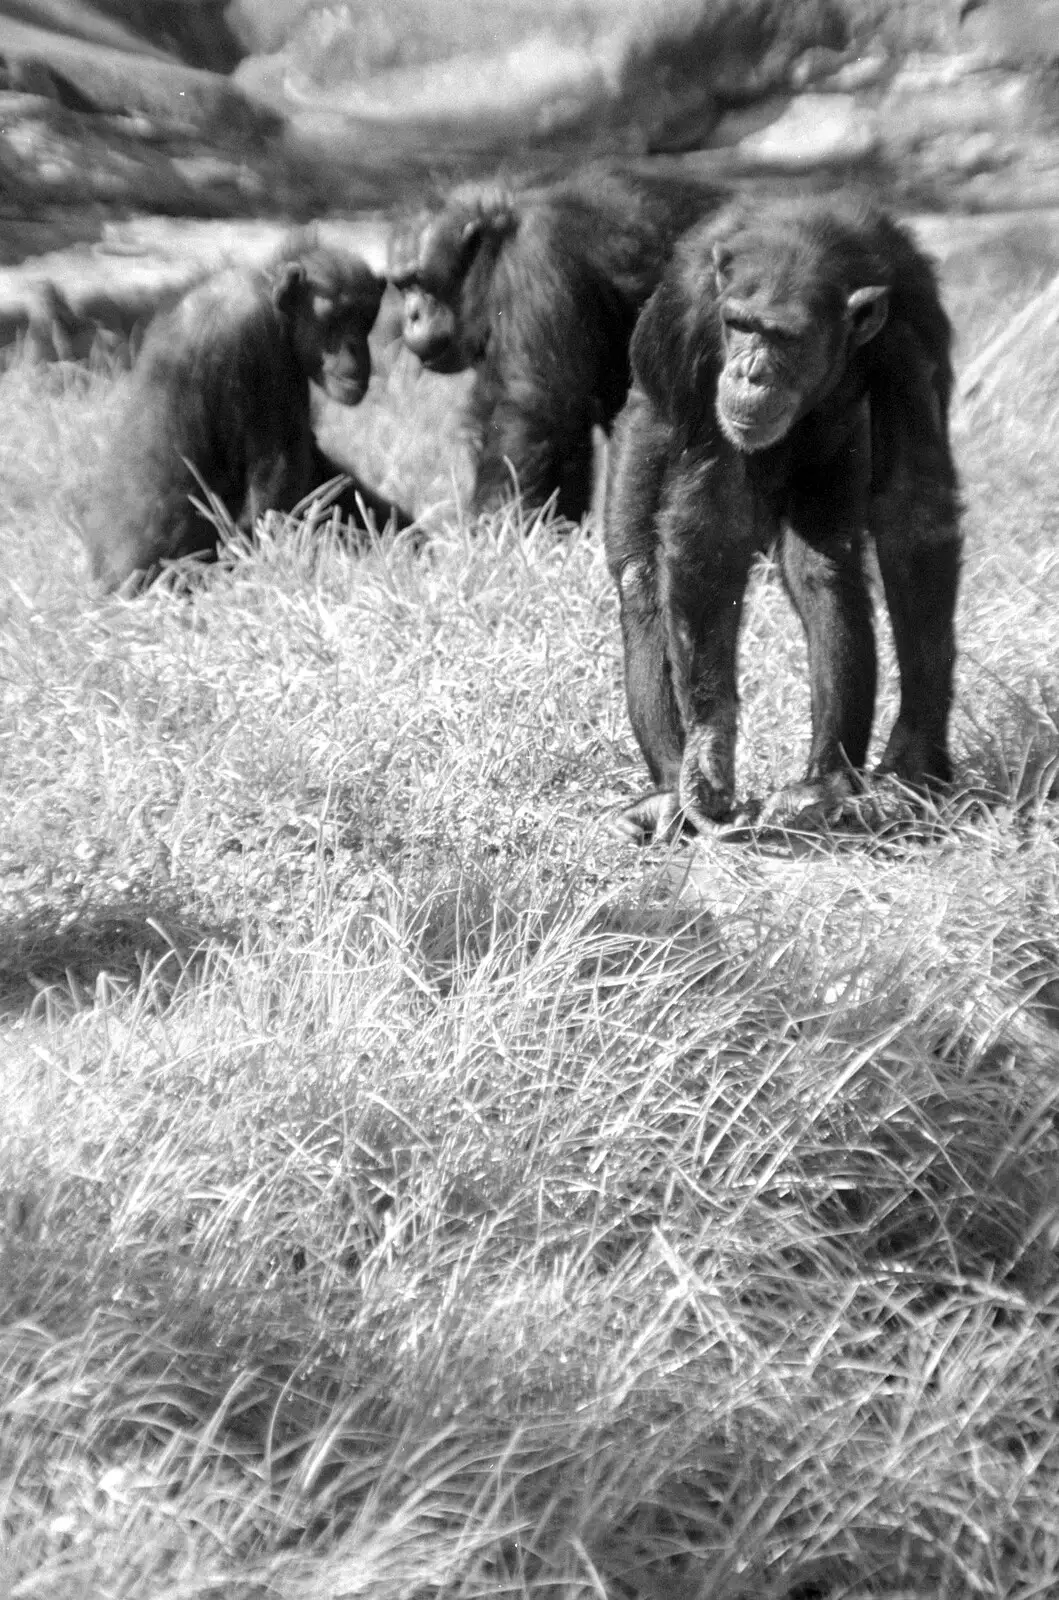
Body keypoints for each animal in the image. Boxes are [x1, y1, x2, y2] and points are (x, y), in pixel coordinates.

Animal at [83, 233, 412, 592]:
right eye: (334, 319)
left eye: (365, 317)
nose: (355, 347)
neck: (271, 297)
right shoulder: (256, 342)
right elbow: (275, 485)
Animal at [385, 168, 726, 518]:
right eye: (403, 286)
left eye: (420, 282)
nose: (411, 314)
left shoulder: (535, 262)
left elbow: (534, 411)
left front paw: (497, 524)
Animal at [601, 195, 966, 844]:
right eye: (742, 326)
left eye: (784, 337)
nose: (749, 372)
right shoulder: (696, 320)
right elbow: (711, 523)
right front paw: (708, 757)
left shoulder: (913, 332)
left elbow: (913, 510)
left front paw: (914, 763)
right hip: (638, 429)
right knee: (641, 579)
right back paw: (669, 793)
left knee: (825, 575)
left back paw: (822, 786)